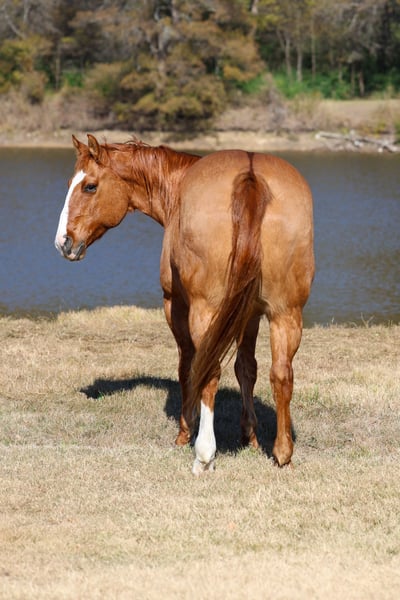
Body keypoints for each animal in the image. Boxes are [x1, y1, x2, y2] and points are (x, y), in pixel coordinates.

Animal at [55, 134, 314, 475]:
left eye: (90, 186)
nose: (63, 242)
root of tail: (250, 176)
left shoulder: (176, 305)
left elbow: (187, 367)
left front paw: (184, 432)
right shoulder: (250, 314)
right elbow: (247, 369)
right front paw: (250, 437)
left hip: (207, 312)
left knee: (210, 371)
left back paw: (204, 454)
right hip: (286, 314)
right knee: (281, 375)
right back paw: (283, 453)